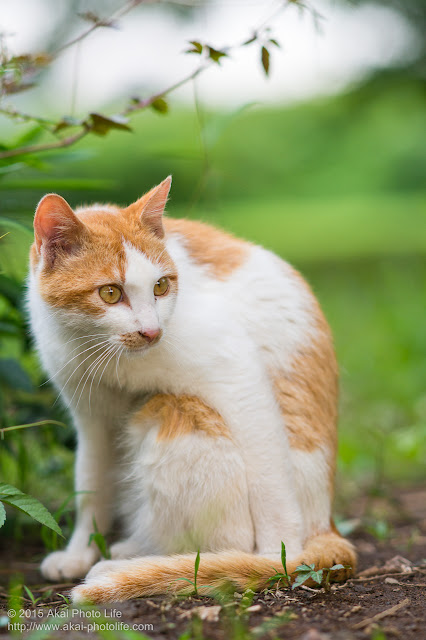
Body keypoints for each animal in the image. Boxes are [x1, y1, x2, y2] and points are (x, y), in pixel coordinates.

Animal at [27, 174, 356, 600]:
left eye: (161, 287)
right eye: (110, 293)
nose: (151, 332)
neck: (104, 354)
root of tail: (325, 523)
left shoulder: (238, 375)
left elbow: (270, 493)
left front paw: (275, 558)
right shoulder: (91, 416)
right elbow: (90, 485)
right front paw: (78, 552)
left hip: (172, 413)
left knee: (230, 538)